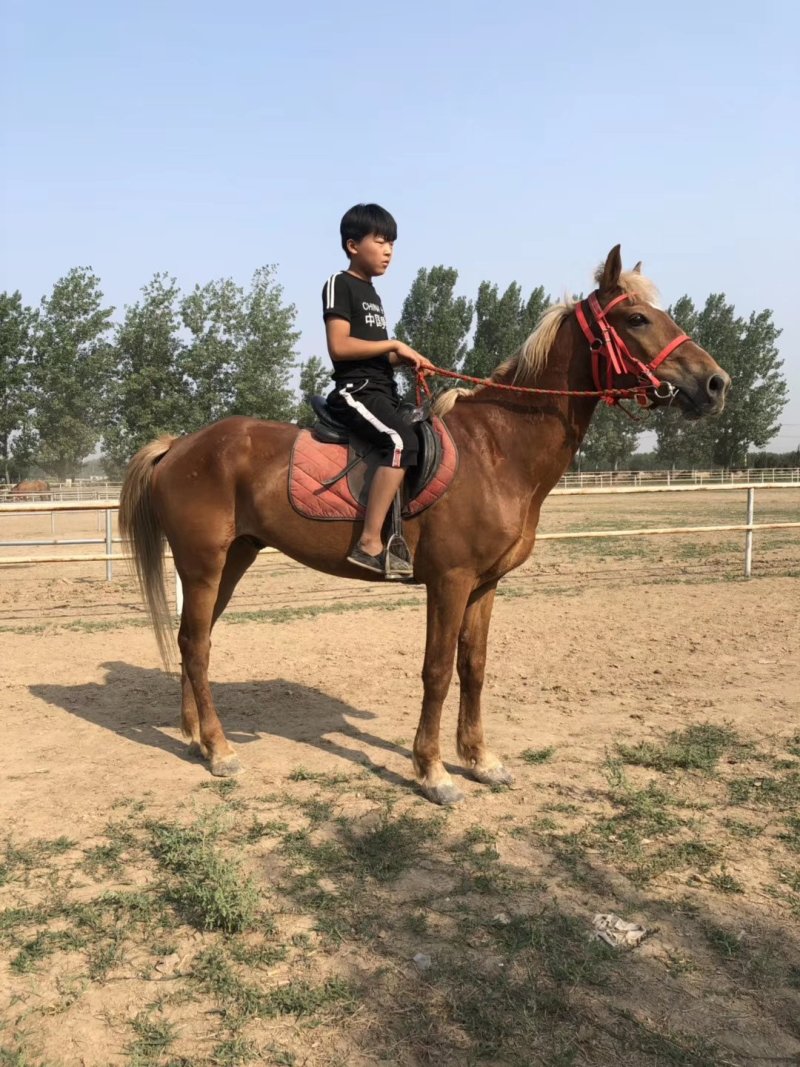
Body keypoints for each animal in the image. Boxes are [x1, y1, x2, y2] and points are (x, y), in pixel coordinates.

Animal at [120, 246, 730, 805]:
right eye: (637, 319)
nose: (716, 383)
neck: (498, 450)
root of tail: (181, 445)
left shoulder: (485, 585)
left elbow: (473, 667)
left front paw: (481, 760)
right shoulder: (450, 581)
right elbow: (436, 670)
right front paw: (433, 772)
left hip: (234, 558)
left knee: (193, 640)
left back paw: (196, 738)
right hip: (203, 563)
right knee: (195, 644)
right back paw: (220, 750)